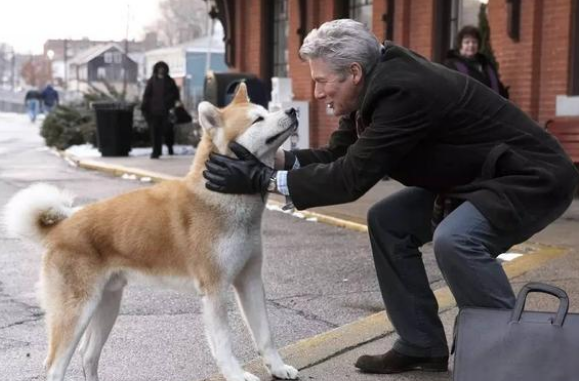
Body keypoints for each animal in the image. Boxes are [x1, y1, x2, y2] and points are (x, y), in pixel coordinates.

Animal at [4, 84, 302, 380]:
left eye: (266, 110)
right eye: (258, 119)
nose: (292, 110)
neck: (221, 196)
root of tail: (61, 227)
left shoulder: (249, 279)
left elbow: (265, 335)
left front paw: (277, 367)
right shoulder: (215, 289)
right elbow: (224, 343)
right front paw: (237, 375)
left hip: (107, 304)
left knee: (88, 355)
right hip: (77, 311)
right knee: (55, 366)